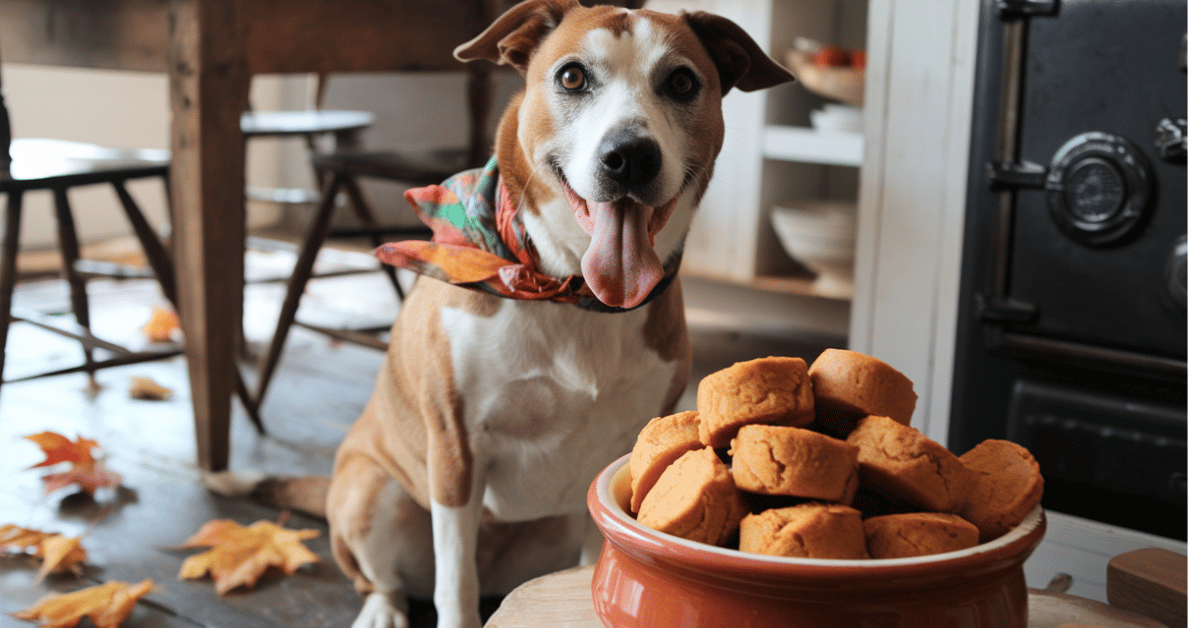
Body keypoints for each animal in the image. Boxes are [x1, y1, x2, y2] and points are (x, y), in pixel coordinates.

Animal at [249, 2, 792, 624]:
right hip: (372, 493)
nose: (630, 156)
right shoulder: (456, 451)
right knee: (385, 580)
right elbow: (454, 588)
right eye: (572, 77)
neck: (571, 288)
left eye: (681, 82)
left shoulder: (625, 458)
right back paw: (384, 608)